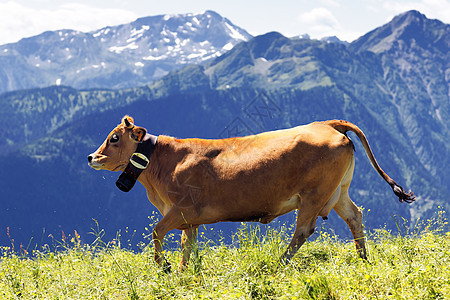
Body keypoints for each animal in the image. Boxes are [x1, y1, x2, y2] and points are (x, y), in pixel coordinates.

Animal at [88, 116, 414, 270]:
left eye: (114, 138)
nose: (91, 157)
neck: (163, 162)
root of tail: (326, 124)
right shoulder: (189, 219)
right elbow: (186, 245)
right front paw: (183, 272)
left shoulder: (180, 209)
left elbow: (157, 232)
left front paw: (166, 267)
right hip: (338, 192)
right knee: (355, 216)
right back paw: (363, 258)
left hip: (314, 194)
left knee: (304, 230)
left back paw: (280, 263)